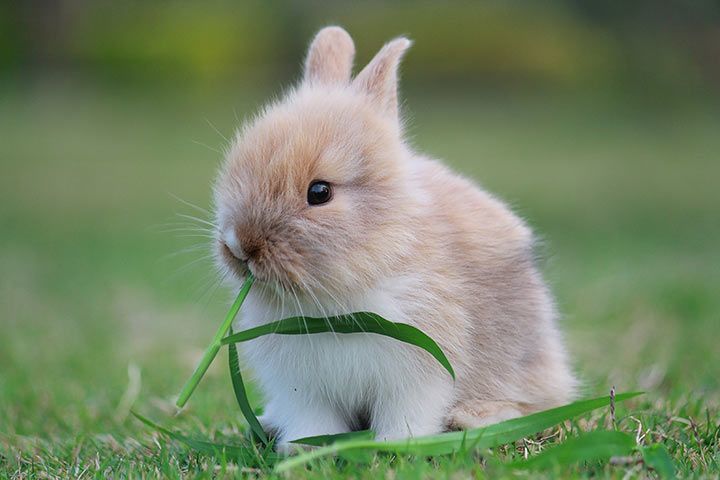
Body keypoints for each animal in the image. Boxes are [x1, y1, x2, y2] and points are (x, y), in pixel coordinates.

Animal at [211, 27, 576, 450]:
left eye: (319, 192)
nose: (239, 246)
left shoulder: (418, 373)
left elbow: (407, 415)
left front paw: (394, 447)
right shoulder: (302, 389)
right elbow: (311, 422)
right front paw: (302, 450)